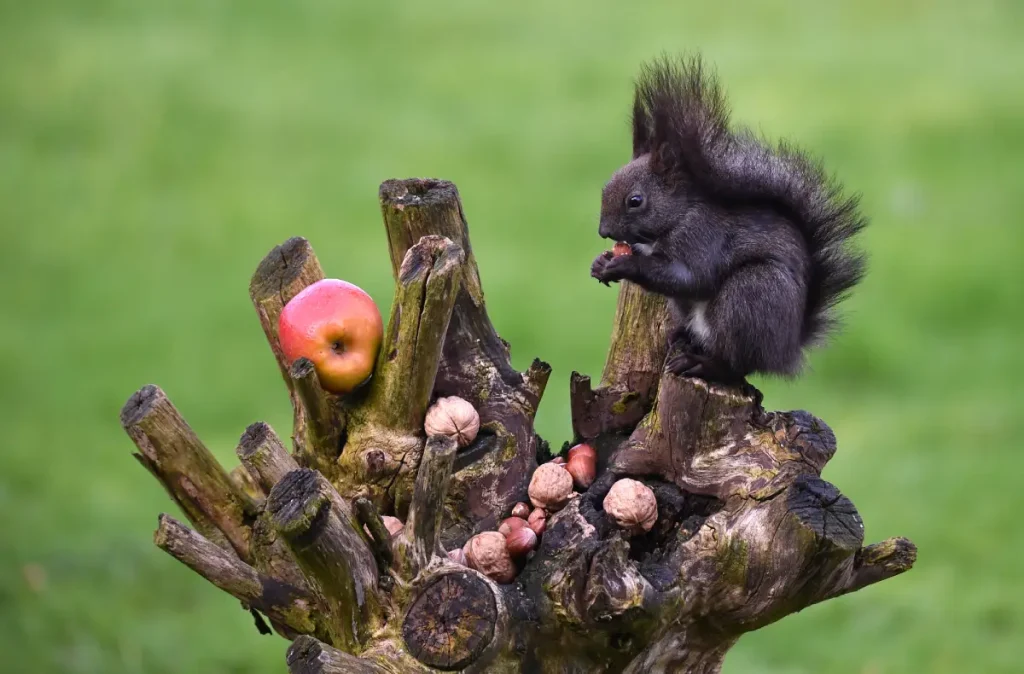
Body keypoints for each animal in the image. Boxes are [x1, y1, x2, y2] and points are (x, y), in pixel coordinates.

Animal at [591, 54, 868, 386]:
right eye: (605, 186)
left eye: (635, 201)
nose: (604, 231)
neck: (677, 216)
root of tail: (787, 351)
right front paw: (601, 262)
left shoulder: (703, 234)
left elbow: (692, 277)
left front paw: (626, 265)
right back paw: (683, 337)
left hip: (752, 295)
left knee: (737, 365)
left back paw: (704, 365)